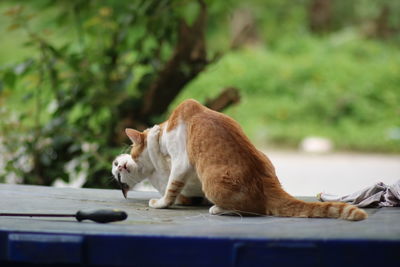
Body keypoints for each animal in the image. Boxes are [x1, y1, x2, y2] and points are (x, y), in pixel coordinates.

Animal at [125, 99, 368, 221]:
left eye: (134, 153)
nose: (132, 158)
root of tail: (270, 186)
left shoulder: (181, 162)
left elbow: (170, 188)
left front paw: (160, 203)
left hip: (213, 182)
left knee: (252, 210)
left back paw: (217, 209)